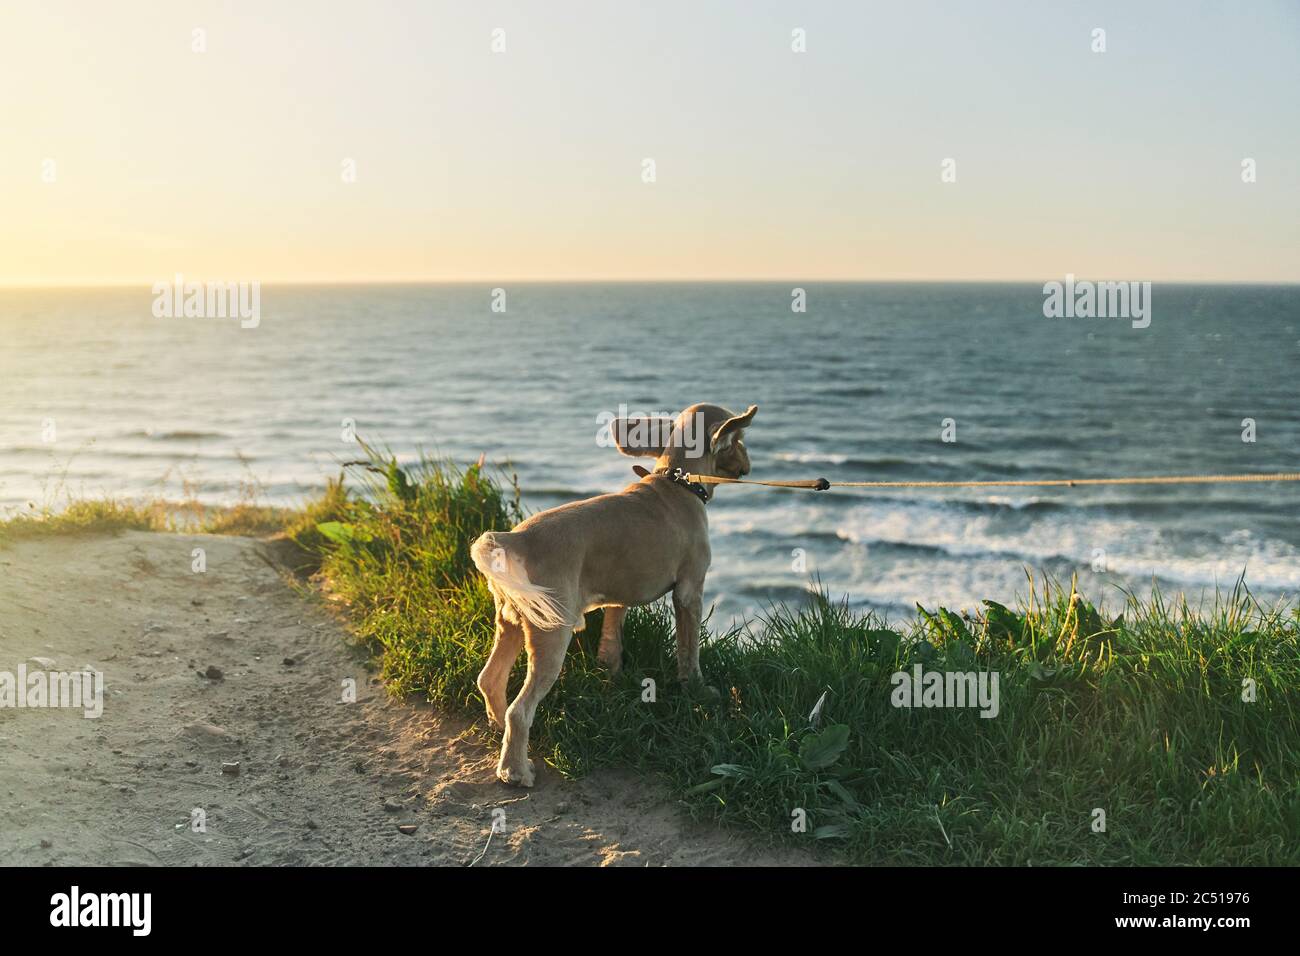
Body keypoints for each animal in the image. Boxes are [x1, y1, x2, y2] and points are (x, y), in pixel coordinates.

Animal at [470, 403, 759, 785]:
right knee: (520, 710)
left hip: (512, 620)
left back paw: (499, 732)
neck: (675, 483)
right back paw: (515, 770)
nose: (749, 461)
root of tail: (515, 539)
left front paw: (611, 673)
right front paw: (696, 689)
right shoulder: (689, 591)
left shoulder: (619, 594)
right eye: (738, 439)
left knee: (490, 679)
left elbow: (612, 637)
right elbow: (689, 649)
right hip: (551, 633)